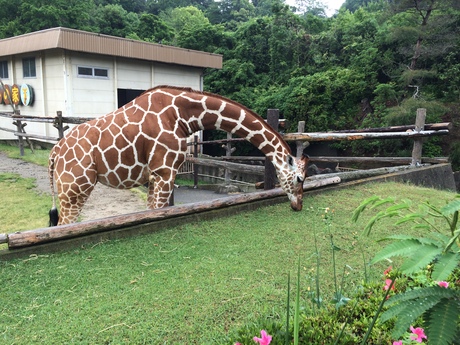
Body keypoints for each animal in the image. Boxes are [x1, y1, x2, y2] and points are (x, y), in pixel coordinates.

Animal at [48, 85, 310, 226]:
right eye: (299, 179)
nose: (298, 206)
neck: (183, 115)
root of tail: (55, 151)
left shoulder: (154, 175)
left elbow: (150, 211)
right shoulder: (165, 172)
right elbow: (159, 212)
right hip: (75, 189)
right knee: (63, 223)